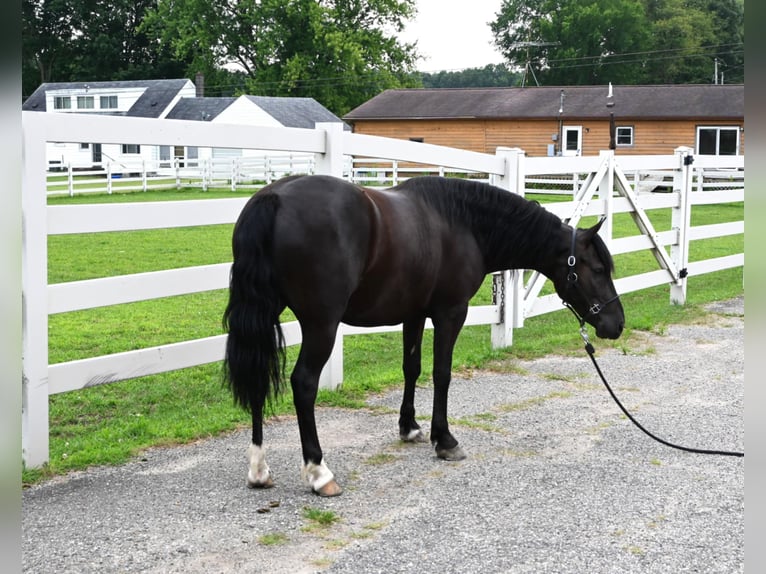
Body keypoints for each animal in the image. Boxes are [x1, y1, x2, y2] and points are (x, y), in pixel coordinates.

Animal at [223, 174, 624, 497]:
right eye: (598, 268)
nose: (616, 324)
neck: (464, 224)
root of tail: (274, 197)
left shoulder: (413, 315)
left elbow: (411, 368)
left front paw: (410, 427)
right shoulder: (451, 314)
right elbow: (441, 374)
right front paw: (444, 440)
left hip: (265, 314)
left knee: (258, 376)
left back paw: (259, 469)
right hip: (321, 324)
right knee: (304, 383)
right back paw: (319, 473)